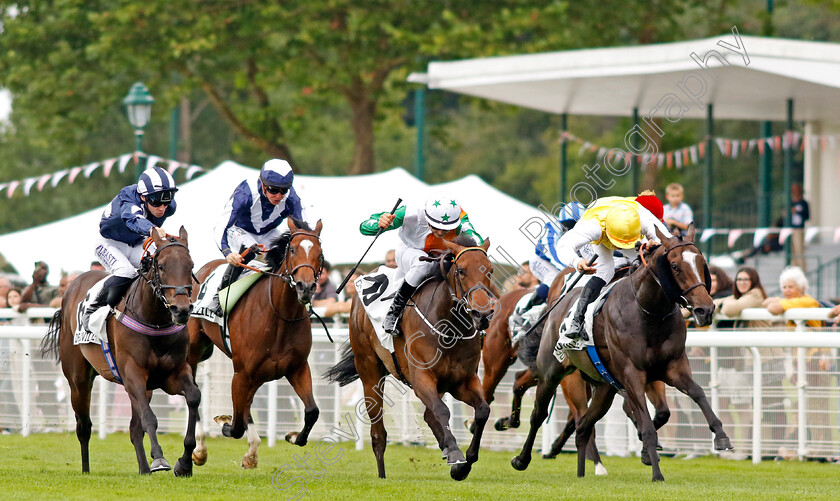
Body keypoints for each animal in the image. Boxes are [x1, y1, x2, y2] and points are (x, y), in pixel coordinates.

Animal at [40, 229, 199, 474]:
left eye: (190, 266)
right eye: (162, 266)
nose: (180, 310)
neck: (155, 321)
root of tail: (71, 288)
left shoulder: (173, 373)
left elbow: (193, 397)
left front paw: (184, 463)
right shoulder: (133, 374)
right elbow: (149, 417)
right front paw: (159, 458)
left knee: (134, 429)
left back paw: (143, 469)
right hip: (78, 379)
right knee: (84, 426)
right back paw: (86, 470)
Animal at [189, 218, 324, 468]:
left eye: (319, 254)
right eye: (292, 249)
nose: (306, 287)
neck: (280, 316)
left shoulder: (297, 368)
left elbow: (312, 411)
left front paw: (292, 436)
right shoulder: (242, 373)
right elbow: (235, 427)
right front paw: (224, 421)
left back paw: (252, 451)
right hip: (194, 350)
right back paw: (200, 448)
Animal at [324, 237, 496, 480]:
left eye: (489, 270)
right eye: (461, 270)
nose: (482, 315)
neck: (449, 328)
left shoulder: (463, 381)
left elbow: (482, 411)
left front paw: (464, 463)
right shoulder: (421, 376)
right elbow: (442, 411)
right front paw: (455, 453)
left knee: (428, 415)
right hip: (369, 370)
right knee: (378, 432)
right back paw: (382, 474)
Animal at [508, 224, 732, 480]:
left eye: (702, 263)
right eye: (675, 266)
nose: (706, 309)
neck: (649, 312)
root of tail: (557, 302)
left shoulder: (673, 367)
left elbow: (696, 394)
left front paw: (721, 436)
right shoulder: (632, 374)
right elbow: (647, 424)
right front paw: (656, 472)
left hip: (604, 388)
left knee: (583, 426)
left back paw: (583, 472)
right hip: (552, 373)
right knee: (539, 414)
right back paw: (521, 459)